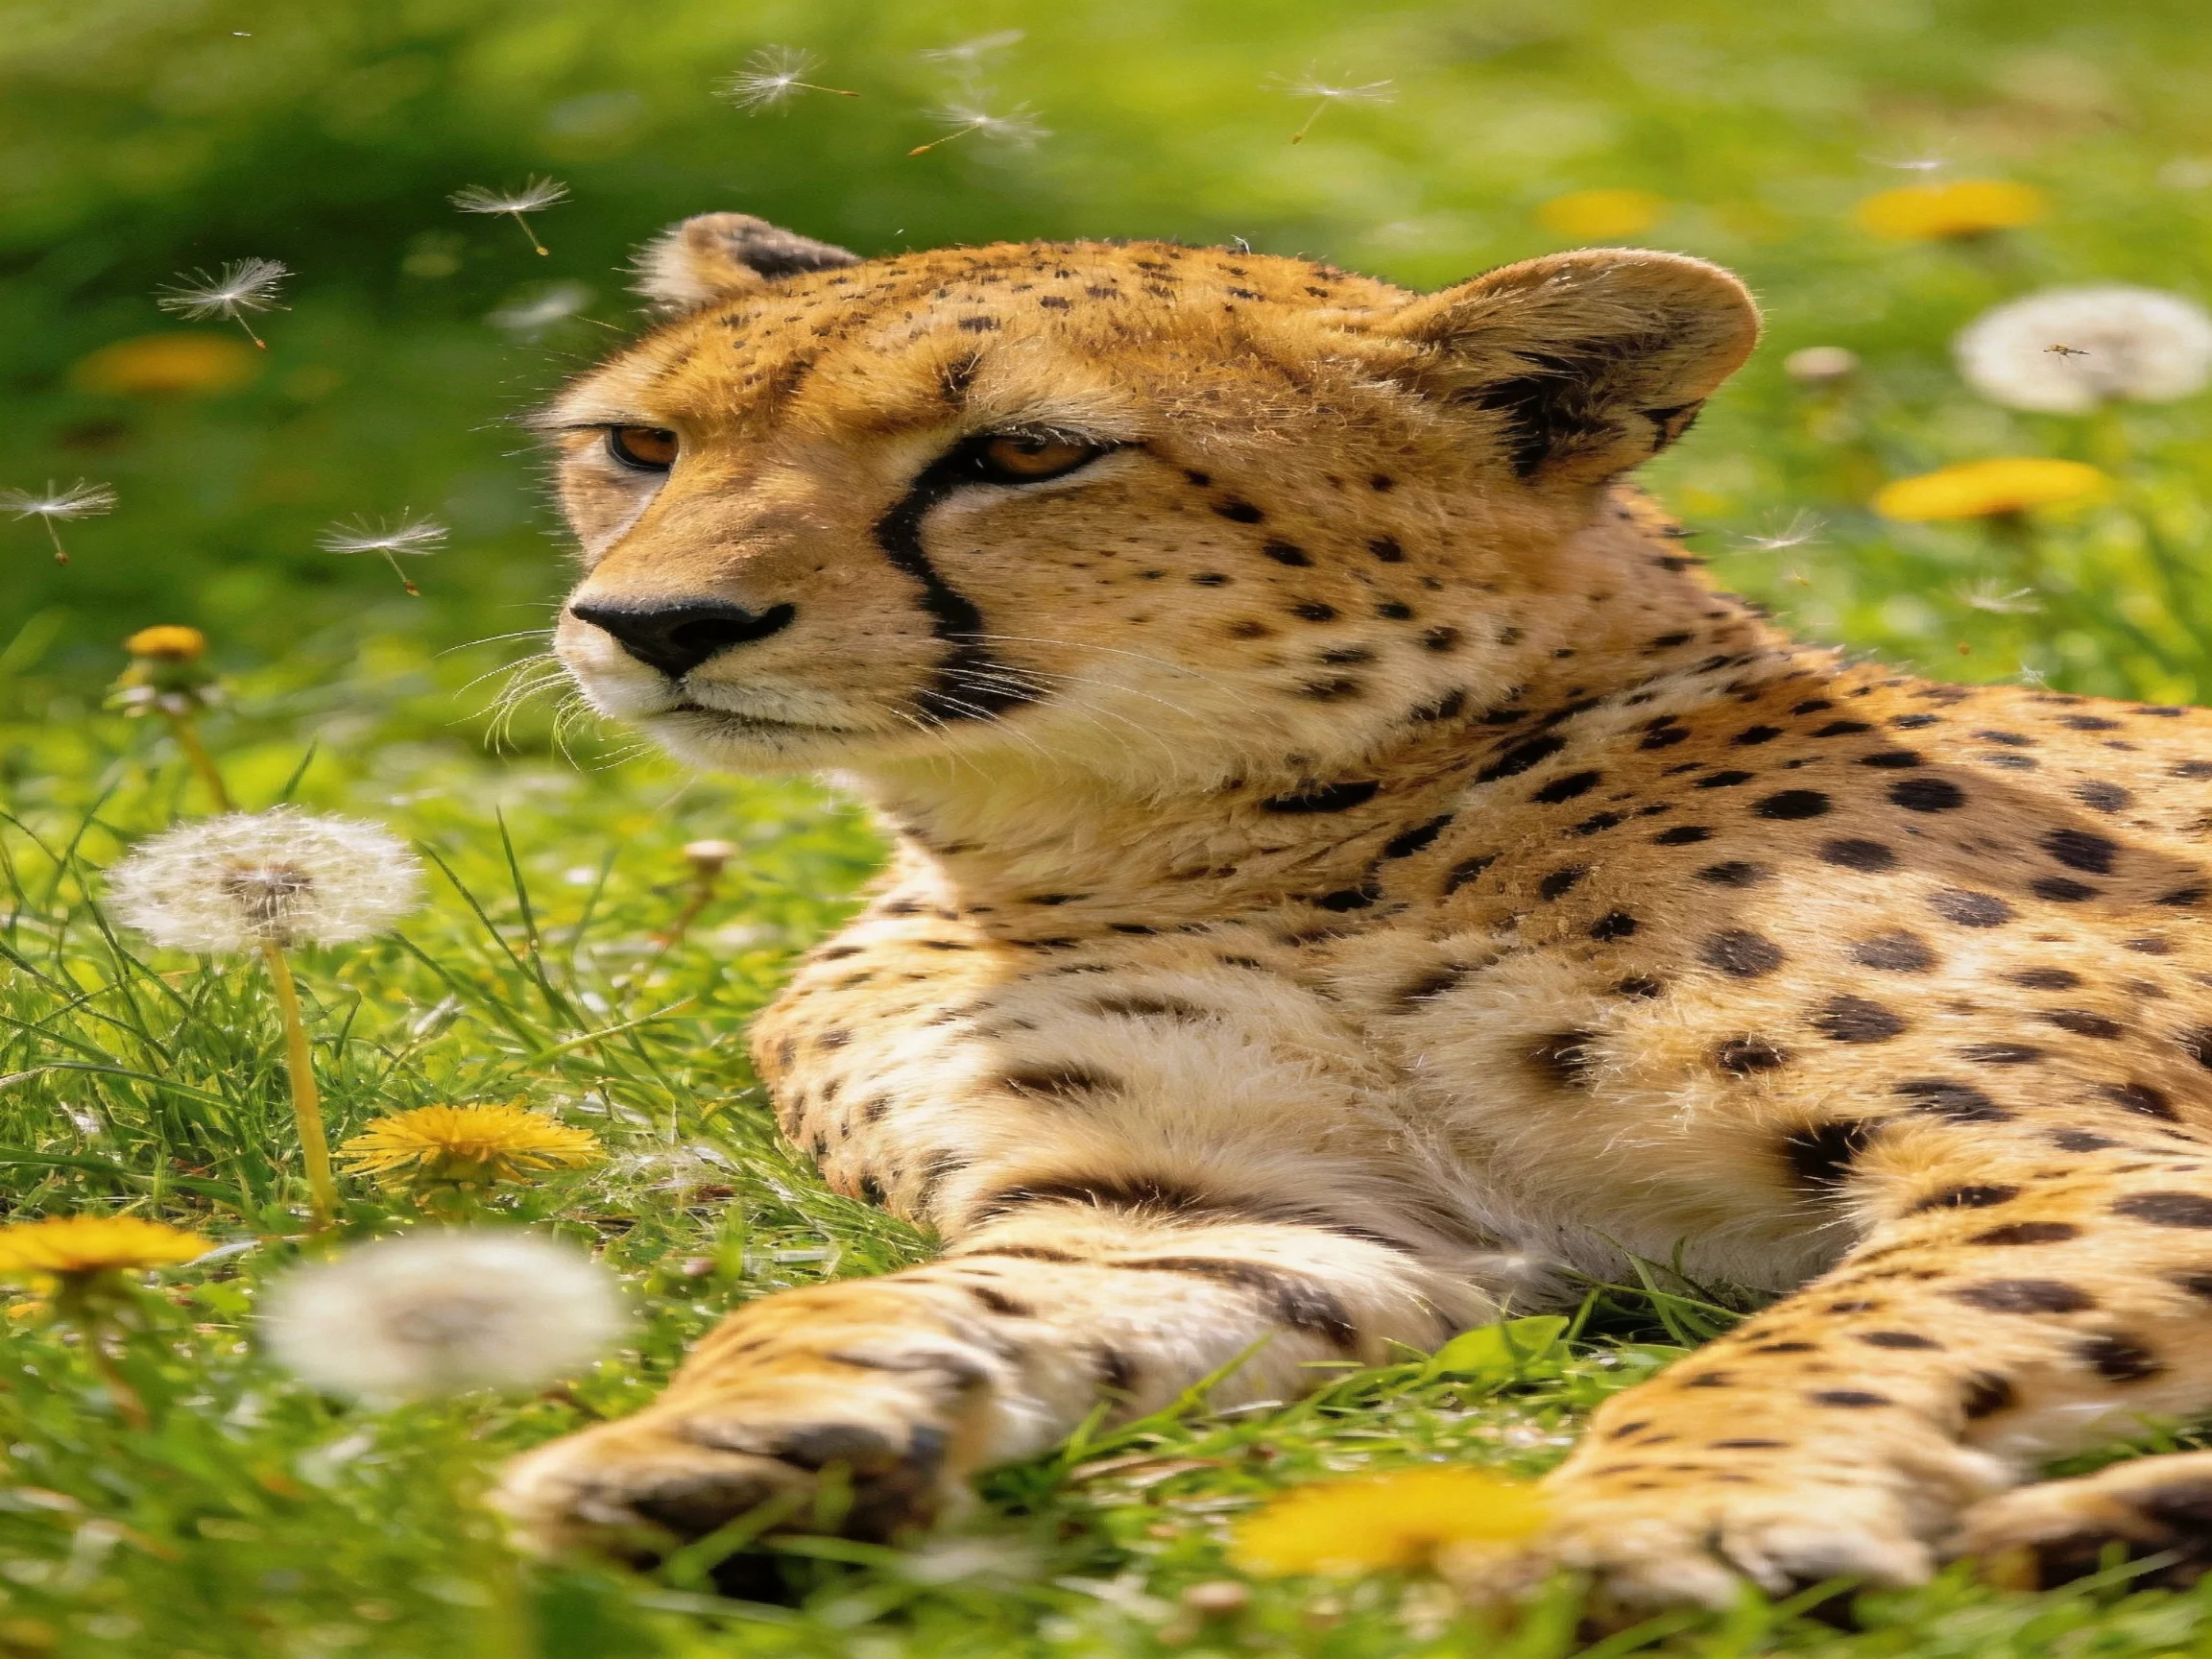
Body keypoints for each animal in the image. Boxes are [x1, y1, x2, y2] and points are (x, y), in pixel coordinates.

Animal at [497, 209, 2212, 1616]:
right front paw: (729, 1426)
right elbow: (902, 1304)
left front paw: (1670, 1511)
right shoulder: (1222, 1214)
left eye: (1025, 455)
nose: (652, 624)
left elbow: (1828, 1341)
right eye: (642, 444)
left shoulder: (2080, 1168)